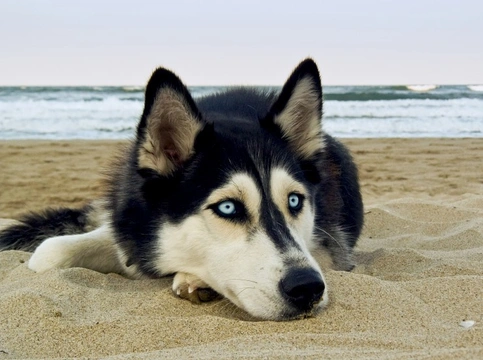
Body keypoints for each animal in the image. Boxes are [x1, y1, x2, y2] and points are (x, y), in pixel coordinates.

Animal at [0, 59, 364, 320]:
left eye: (294, 201)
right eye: (228, 208)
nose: (307, 288)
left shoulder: (330, 245)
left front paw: (194, 279)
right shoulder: (127, 230)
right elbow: (48, 253)